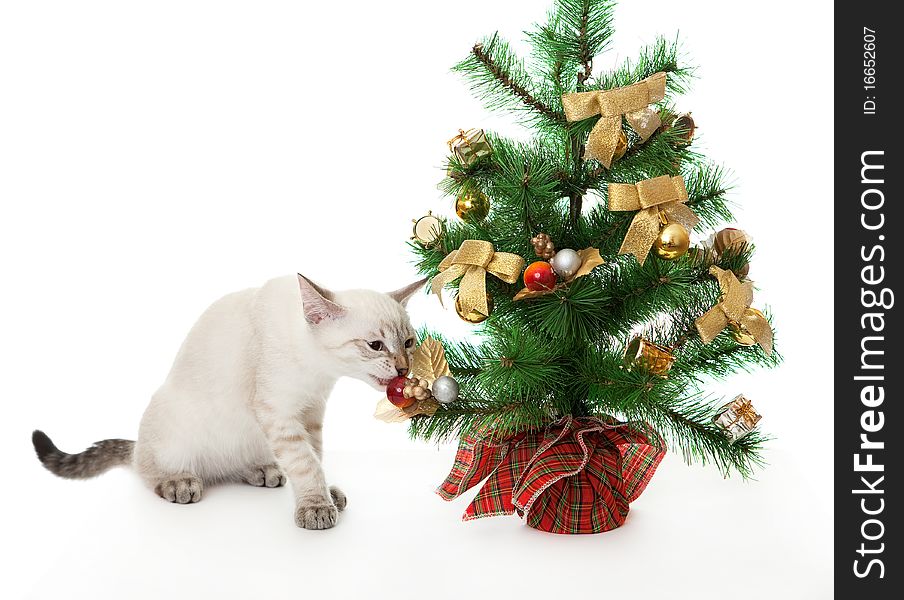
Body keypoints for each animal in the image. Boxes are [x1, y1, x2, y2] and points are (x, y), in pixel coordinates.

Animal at [34, 274, 424, 528]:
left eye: (408, 343)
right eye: (375, 345)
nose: (404, 369)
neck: (317, 371)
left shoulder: (310, 412)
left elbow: (314, 455)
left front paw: (323, 495)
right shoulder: (278, 412)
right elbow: (305, 462)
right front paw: (316, 506)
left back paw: (262, 471)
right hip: (173, 431)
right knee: (147, 468)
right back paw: (179, 482)